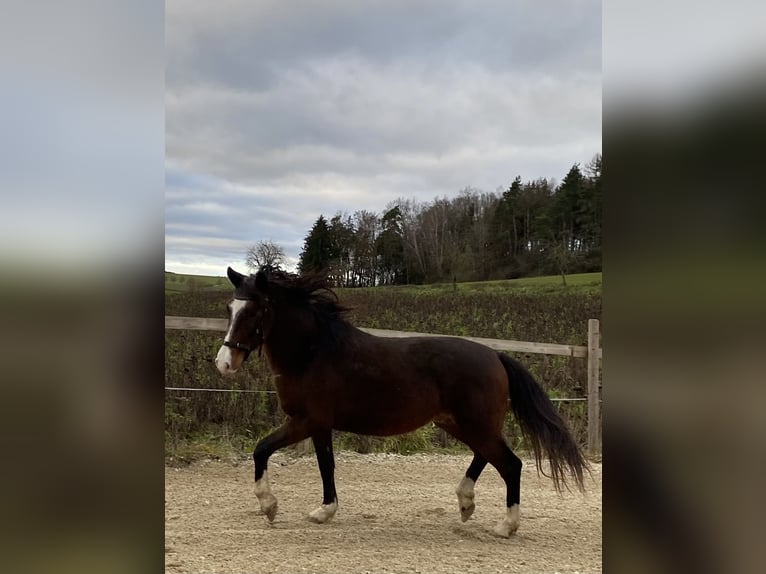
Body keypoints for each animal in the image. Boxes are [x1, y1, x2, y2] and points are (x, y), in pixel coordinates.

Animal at [216, 268, 588, 536]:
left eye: (254, 310)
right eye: (230, 308)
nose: (224, 363)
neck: (313, 353)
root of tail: (495, 355)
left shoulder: (307, 421)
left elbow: (270, 451)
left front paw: (275, 507)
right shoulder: (316, 425)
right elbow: (316, 464)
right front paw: (317, 510)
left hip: (475, 424)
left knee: (510, 464)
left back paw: (505, 526)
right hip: (459, 423)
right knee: (485, 456)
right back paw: (465, 504)